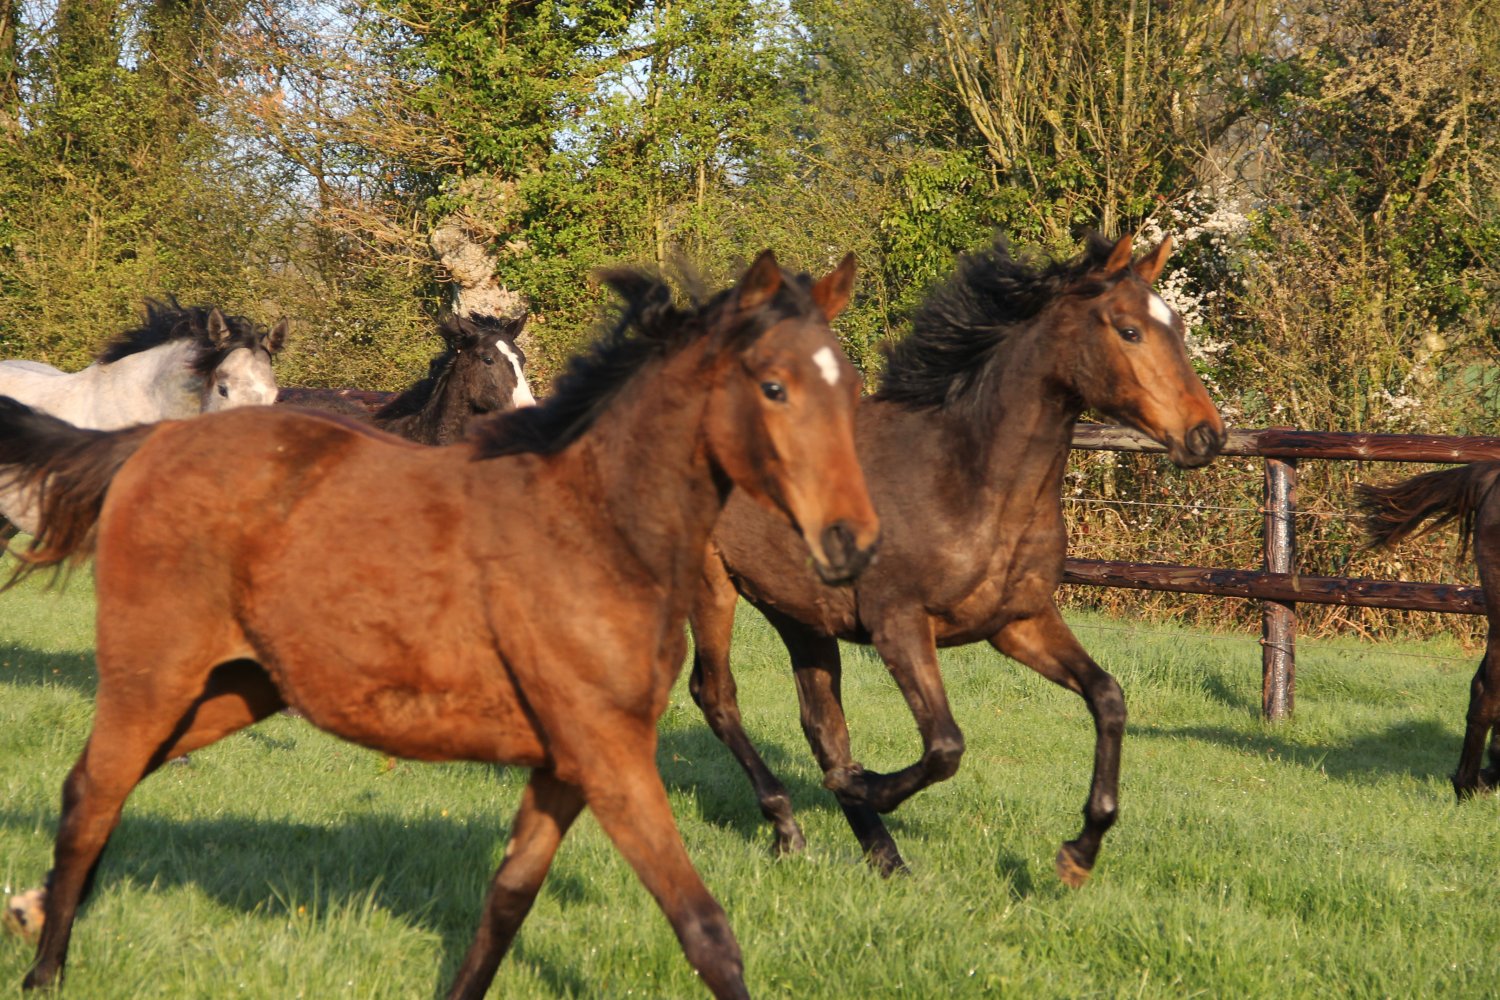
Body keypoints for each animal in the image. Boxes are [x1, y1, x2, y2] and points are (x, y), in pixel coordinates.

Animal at [687, 233, 1226, 886]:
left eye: (1178, 325)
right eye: (1129, 331)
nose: (1206, 435)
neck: (969, 479)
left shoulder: (1018, 622)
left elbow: (1108, 697)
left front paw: (1079, 853)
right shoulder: (898, 622)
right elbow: (946, 745)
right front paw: (866, 784)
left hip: (798, 611)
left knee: (822, 724)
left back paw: (884, 856)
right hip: (710, 585)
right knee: (716, 696)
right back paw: (791, 826)